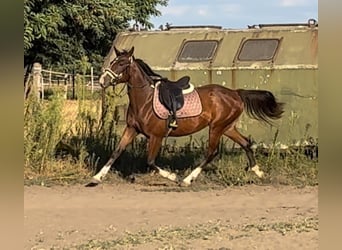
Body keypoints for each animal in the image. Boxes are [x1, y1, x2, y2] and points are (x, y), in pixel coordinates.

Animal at [87, 47, 284, 187]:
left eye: (122, 64)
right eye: (114, 61)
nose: (102, 81)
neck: (144, 100)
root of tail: (236, 93)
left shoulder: (156, 136)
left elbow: (150, 161)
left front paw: (173, 176)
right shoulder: (131, 129)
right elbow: (116, 151)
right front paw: (96, 177)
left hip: (217, 127)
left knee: (212, 152)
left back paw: (187, 180)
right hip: (227, 127)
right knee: (246, 143)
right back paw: (258, 172)